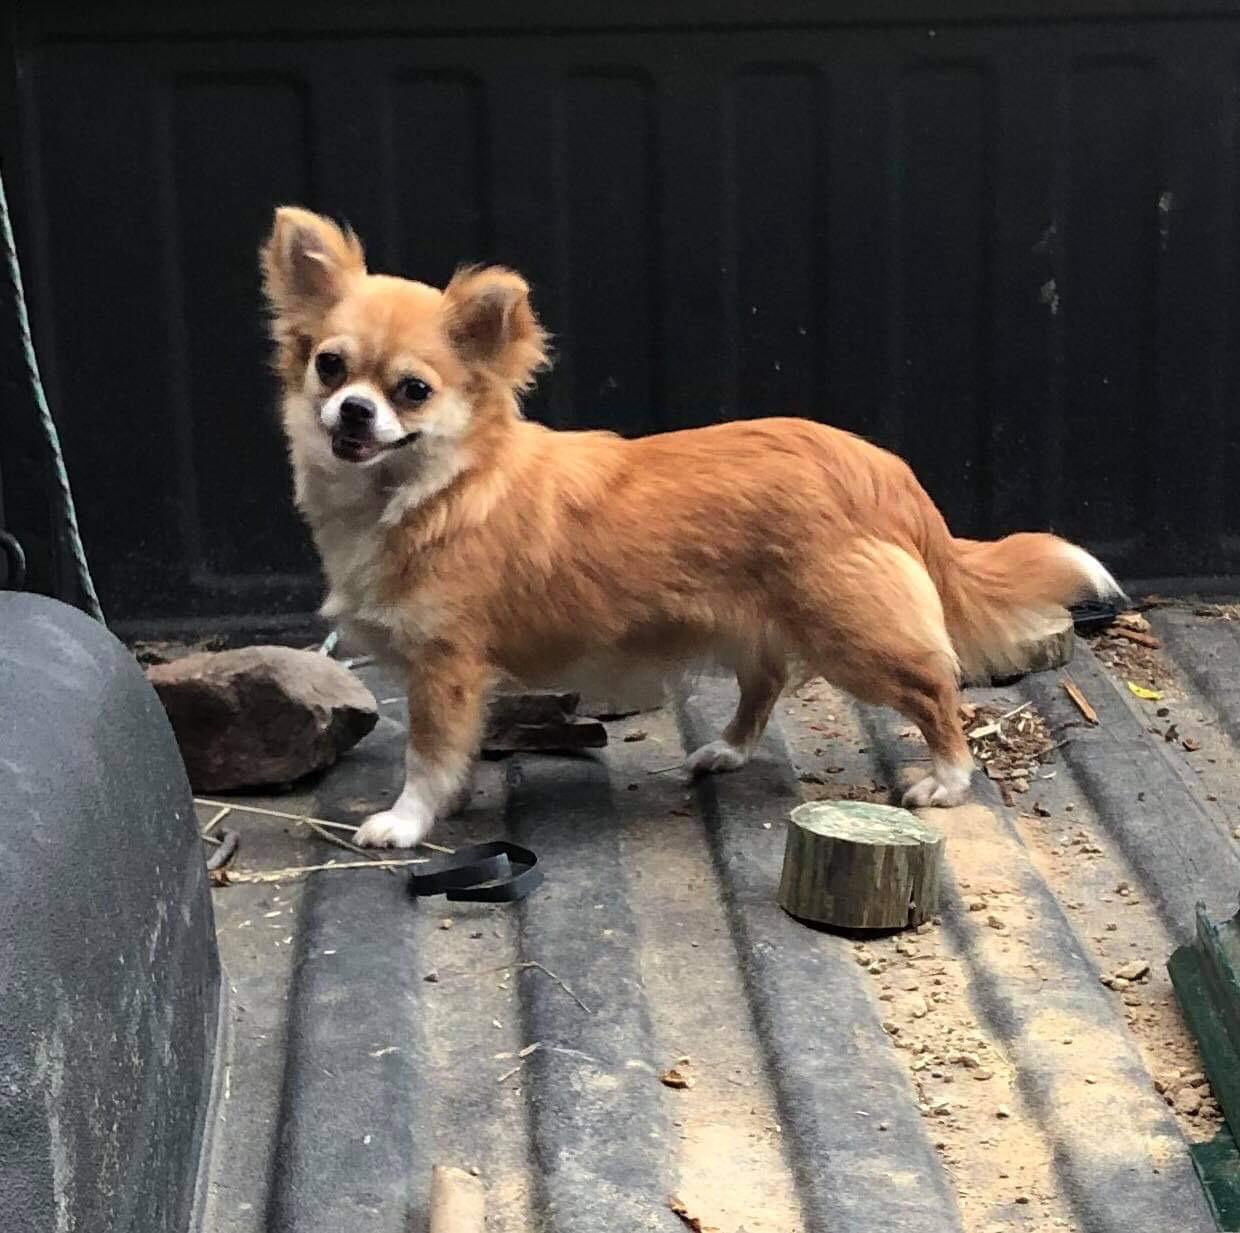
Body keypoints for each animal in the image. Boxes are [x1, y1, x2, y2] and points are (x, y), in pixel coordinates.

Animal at [260, 206, 1123, 848]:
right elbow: (456, 752)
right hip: (759, 626)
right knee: (765, 686)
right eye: (330, 367)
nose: (353, 410)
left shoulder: (445, 666)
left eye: (412, 390)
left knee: (936, 689)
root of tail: (882, 471)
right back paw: (728, 751)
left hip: (853, 637)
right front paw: (453, 800)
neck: (431, 489)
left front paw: (407, 821)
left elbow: (427, 753)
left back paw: (943, 778)